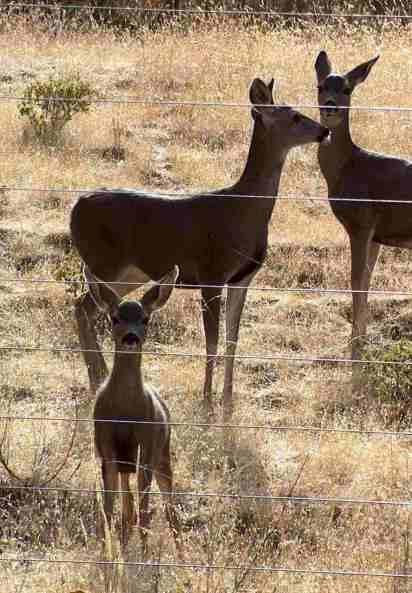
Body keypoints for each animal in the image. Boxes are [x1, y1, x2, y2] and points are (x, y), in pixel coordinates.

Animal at [71, 77, 328, 420]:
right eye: (296, 116)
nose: (324, 131)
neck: (243, 211)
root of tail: (75, 207)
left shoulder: (242, 278)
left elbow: (233, 339)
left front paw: (228, 402)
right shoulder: (211, 273)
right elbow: (212, 341)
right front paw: (206, 402)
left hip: (130, 272)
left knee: (85, 305)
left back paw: (96, 376)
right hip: (104, 261)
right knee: (83, 305)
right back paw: (97, 377)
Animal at [95, 266, 182, 552]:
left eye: (145, 319)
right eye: (114, 318)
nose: (131, 337)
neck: (125, 412)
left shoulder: (147, 444)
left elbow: (145, 512)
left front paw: (144, 556)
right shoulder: (105, 444)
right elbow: (109, 509)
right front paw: (105, 553)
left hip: (163, 455)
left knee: (169, 511)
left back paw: (181, 556)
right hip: (128, 465)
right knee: (129, 509)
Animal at [314, 48, 412, 386]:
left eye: (346, 89)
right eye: (320, 86)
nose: (330, 106)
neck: (348, 168)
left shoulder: (361, 222)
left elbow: (355, 281)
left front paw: (355, 354)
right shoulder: (378, 235)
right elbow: (366, 282)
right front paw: (362, 343)